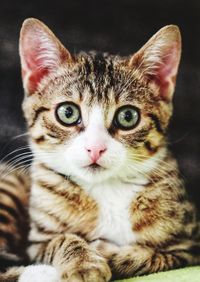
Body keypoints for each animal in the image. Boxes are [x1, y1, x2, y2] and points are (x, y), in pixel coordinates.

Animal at [0, 18, 200, 280]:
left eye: (128, 116)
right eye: (67, 112)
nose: (95, 149)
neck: (107, 187)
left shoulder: (190, 244)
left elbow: (156, 256)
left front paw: (109, 254)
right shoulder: (37, 242)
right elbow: (60, 240)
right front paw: (84, 263)